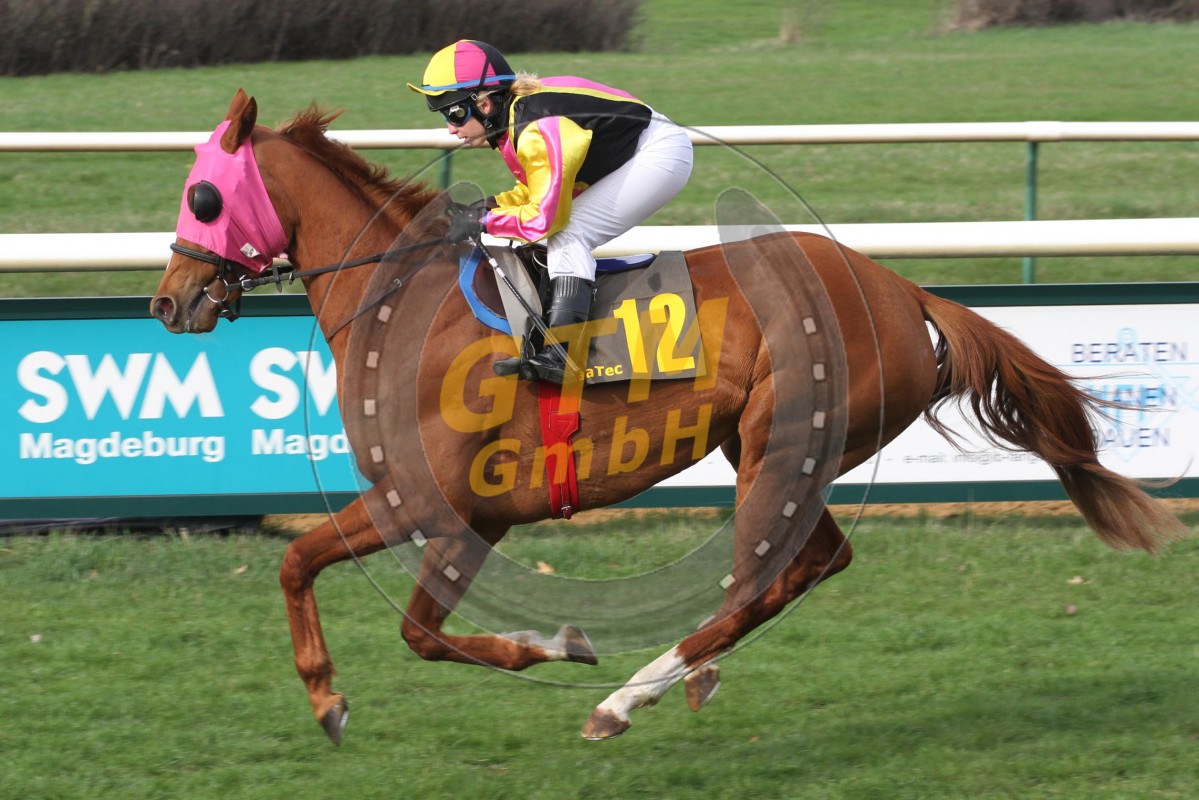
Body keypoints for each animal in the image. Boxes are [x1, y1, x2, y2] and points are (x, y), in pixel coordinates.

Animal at [150, 89, 1188, 743]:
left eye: (202, 194)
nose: (169, 300)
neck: (405, 308)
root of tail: (902, 290)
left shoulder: (430, 500)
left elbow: (361, 599)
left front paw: (541, 649)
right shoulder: (471, 515)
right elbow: (340, 587)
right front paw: (344, 698)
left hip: (780, 441)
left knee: (765, 581)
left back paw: (630, 697)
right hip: (770, 450)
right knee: (806, 565)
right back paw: (685, 676)